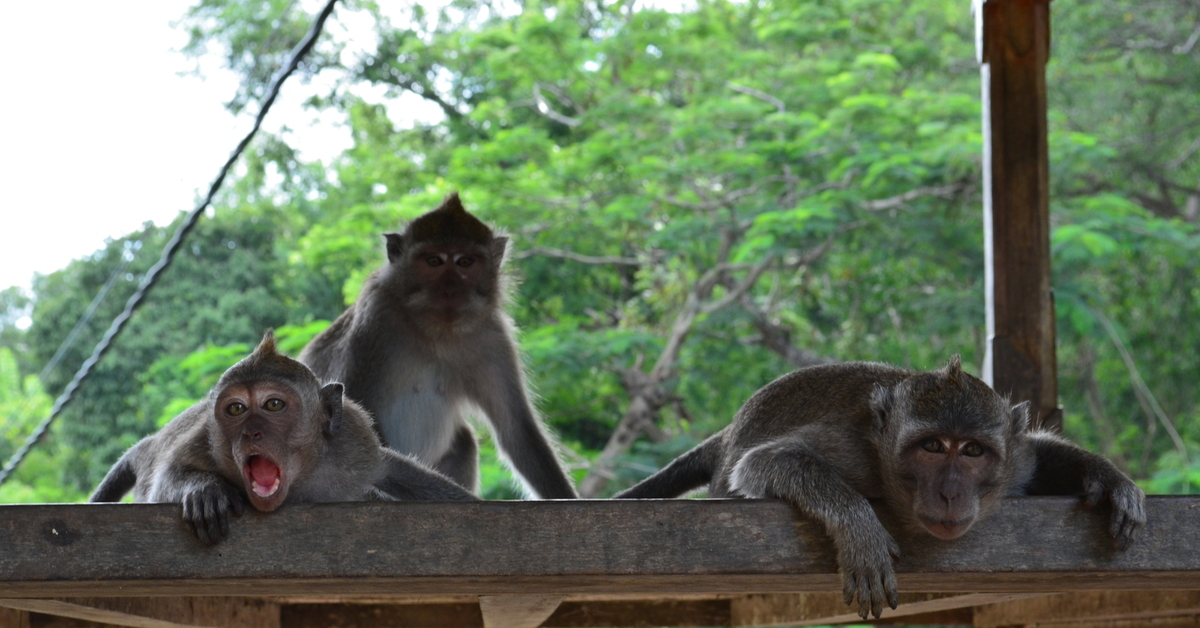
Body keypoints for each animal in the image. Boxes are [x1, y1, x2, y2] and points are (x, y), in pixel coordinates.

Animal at [92, 333, 477, 545]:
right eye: (236, 409)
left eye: (273, 405)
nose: (251, 431)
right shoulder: (206, 440)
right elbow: (167, 480)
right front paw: (204, 492)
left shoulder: (353, 442)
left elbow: (392, 470)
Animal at [302, 194, 578, 499]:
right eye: (434, 261)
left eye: (465, 262)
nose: (450, 290)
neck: (435, 331)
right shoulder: (373, 322)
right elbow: (355, 414)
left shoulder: (492, 336)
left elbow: (516, 430)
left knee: (464, 441)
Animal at [619, 355, 1142, 619]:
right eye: (932, 446)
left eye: (973, 451)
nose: (950, 493)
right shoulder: (853, 451)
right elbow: (766, 462)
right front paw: (859, 528)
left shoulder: (1012, 462)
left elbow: (1032, 453)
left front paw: (1107, 476)